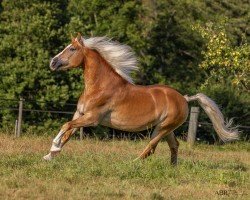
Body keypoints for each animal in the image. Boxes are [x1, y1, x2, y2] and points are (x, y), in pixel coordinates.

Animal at [44, 32, 239, 164]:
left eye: (72, 48)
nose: (52, 62)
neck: (100, 86)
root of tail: (184, 99)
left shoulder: (92, 119)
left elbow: (65, 125)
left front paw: (53, 146)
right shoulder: (80, 114)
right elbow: (67, 132)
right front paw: (50, 155)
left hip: (161, 129)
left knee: (151, 147)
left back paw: (132, 164)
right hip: (167, 129)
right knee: (174, 145)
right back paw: (172, 168)